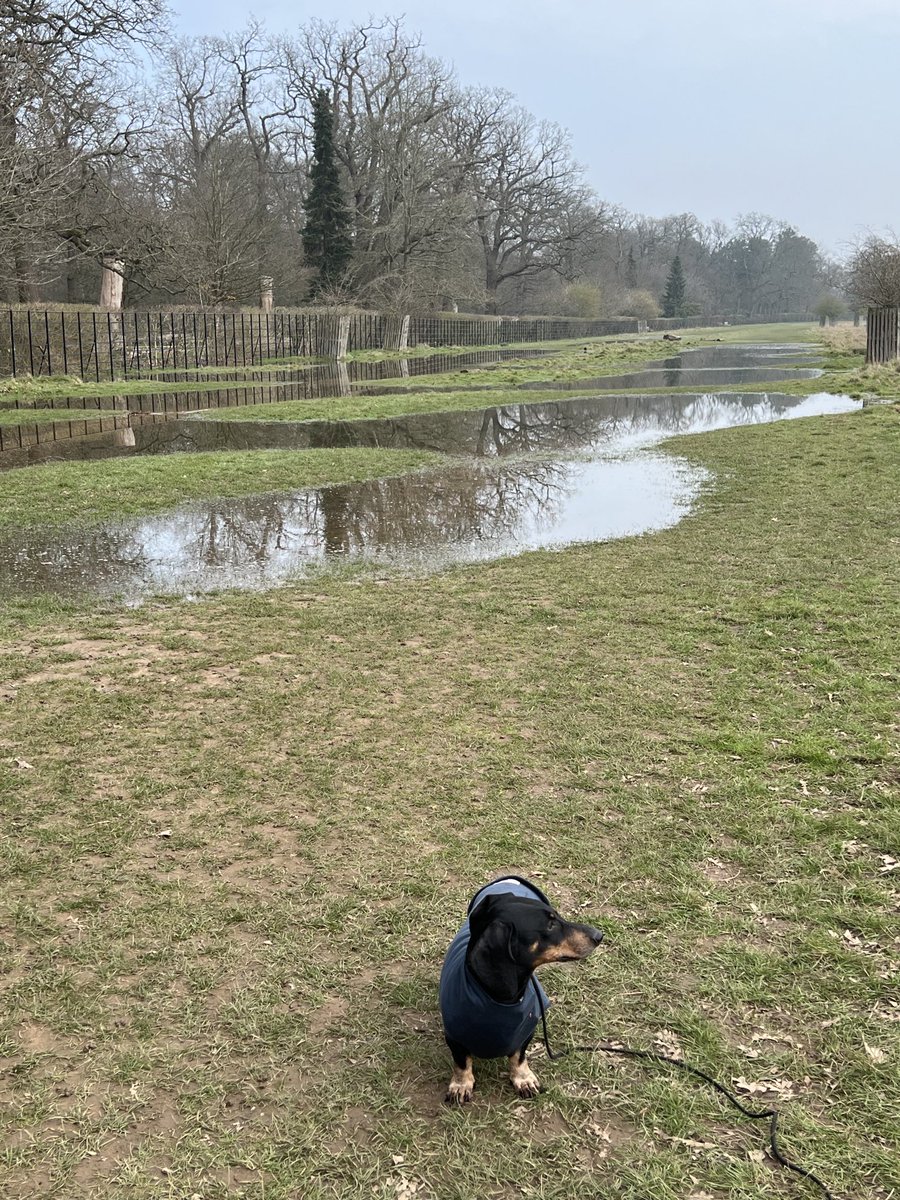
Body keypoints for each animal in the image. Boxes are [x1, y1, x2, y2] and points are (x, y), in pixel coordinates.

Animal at [441, 878, 602, 1099]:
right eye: (550, 925)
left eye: (557, 916)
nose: (599, 935)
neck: (497, 998)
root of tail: (509, 878)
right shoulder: (454, 1036)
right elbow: (462, 1062)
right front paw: (460, 1084)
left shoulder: (526, 1031)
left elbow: (518, 1056)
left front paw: (523, 1079)